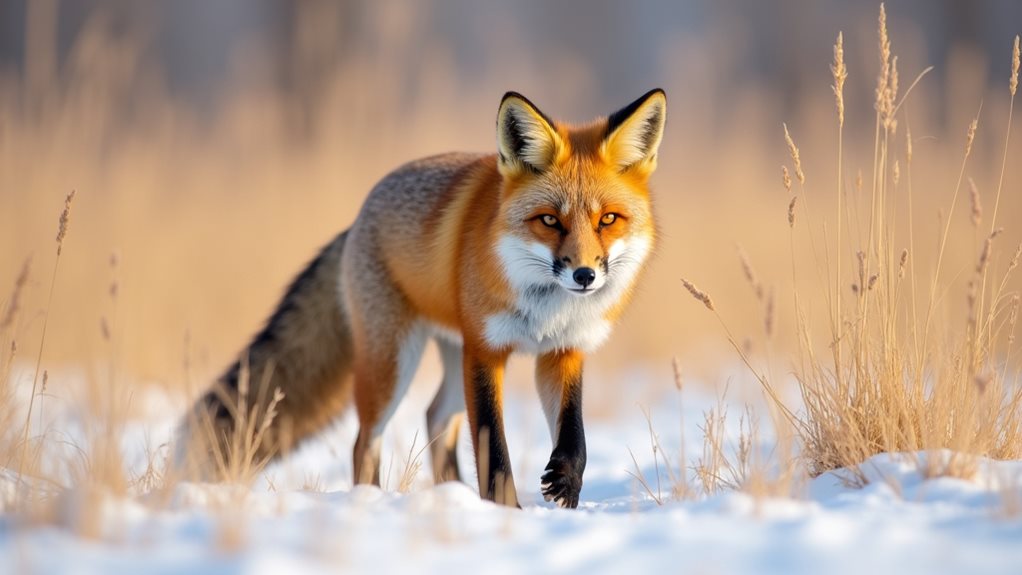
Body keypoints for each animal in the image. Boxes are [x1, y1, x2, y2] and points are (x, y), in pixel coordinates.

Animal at [176, 89, 666, 508]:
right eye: (549, 220)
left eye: (608, 220)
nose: (584, 275)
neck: (547, 310)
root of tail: (357, 218)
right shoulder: (485, 351)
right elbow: (493, 446)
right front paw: (506, 511)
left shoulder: (564, 351)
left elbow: (574, 434)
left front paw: (564, 485)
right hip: (394, 363)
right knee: (364, 442)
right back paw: (372, 501)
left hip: (449, 355)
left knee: (434, 417)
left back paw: (455, 495)